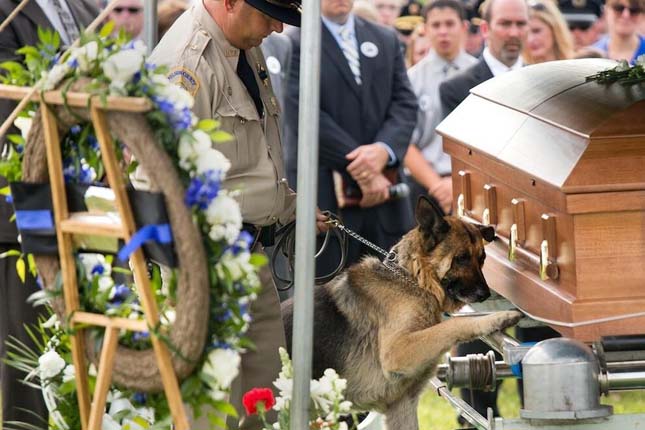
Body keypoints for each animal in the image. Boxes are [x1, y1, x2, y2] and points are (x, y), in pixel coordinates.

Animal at [282, 197, 524, 430]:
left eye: (482, 258)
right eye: (461, 258)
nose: (485, 294)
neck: (412, 280)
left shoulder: (402, 405)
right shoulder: (398, 351)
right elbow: (452, 325)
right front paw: (498, 318)